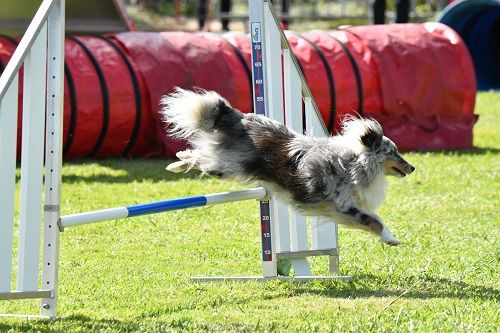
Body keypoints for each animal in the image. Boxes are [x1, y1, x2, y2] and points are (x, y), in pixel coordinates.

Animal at [160, 87, 414, 244]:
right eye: (394, 152)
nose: (412, 168)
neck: (353, 162)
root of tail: (239, 117)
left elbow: (376, 218)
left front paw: (390, 236)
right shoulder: (343, 205)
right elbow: (373, 220)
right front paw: (391, 239)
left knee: (201, 155)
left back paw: (178, 160)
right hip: (229, 166)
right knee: (202, 159)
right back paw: (176, 164)